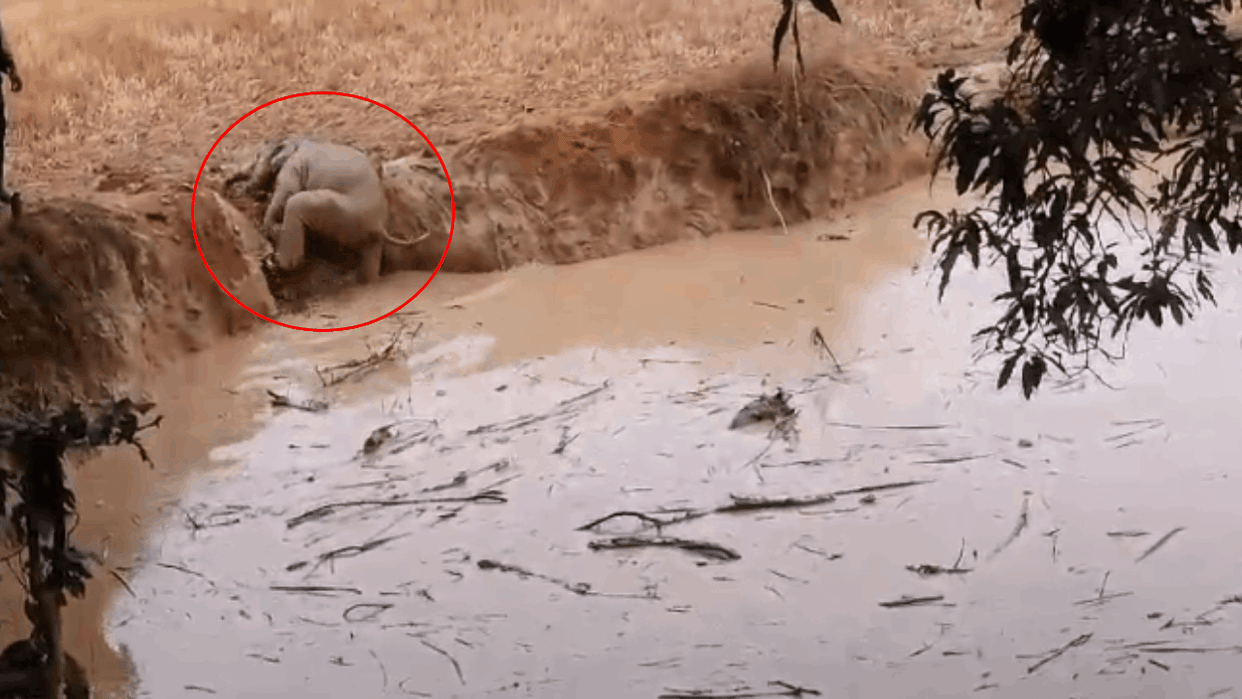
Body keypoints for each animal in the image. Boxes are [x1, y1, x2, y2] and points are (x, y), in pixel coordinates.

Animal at [224, 137, 428, 284]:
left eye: (256, 158)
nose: (229, 186)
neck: (297, 139)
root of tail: (379, 225)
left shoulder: (293, 165)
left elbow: (286, 191)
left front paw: (268, 224)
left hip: (342, 211)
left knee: (297, 202)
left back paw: (277, 262)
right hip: (365, 231)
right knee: (370, 256)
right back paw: (363, 281)